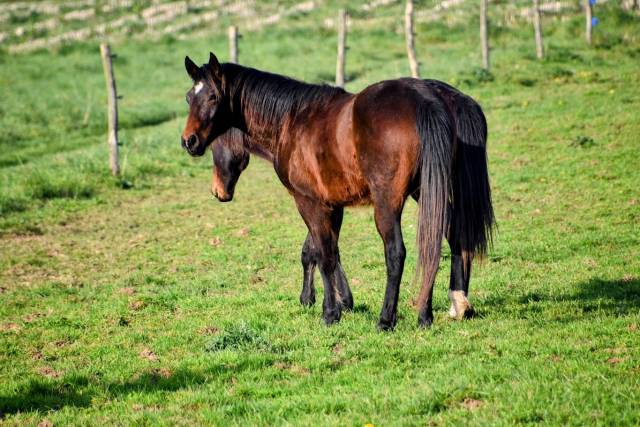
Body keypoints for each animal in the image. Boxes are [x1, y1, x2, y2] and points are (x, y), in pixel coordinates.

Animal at [183, 53, 494, 329]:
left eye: (212, 97)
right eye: (189, 97)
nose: (189, 141)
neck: (291, 120)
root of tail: (427, 100)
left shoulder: (308, 201)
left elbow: (323, 254)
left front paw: (330, 313)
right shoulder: (333, 204)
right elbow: (324, 250)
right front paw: (334, 301)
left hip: (388, 202)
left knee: (396, 252)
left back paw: (387, 319)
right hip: (429, 191)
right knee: (447, 236)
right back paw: (445, 308)